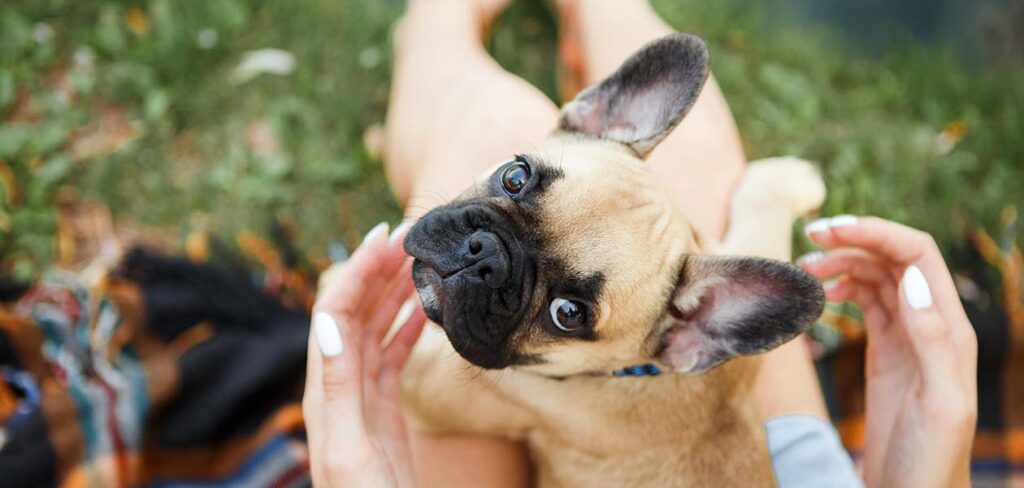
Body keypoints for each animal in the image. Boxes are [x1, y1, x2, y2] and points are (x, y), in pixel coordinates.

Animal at [401, 32, 831, 484]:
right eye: (515, 176)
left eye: (568, 314)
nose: (484, 256)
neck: (640, 370)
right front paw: (788, 181)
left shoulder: (425, 382)